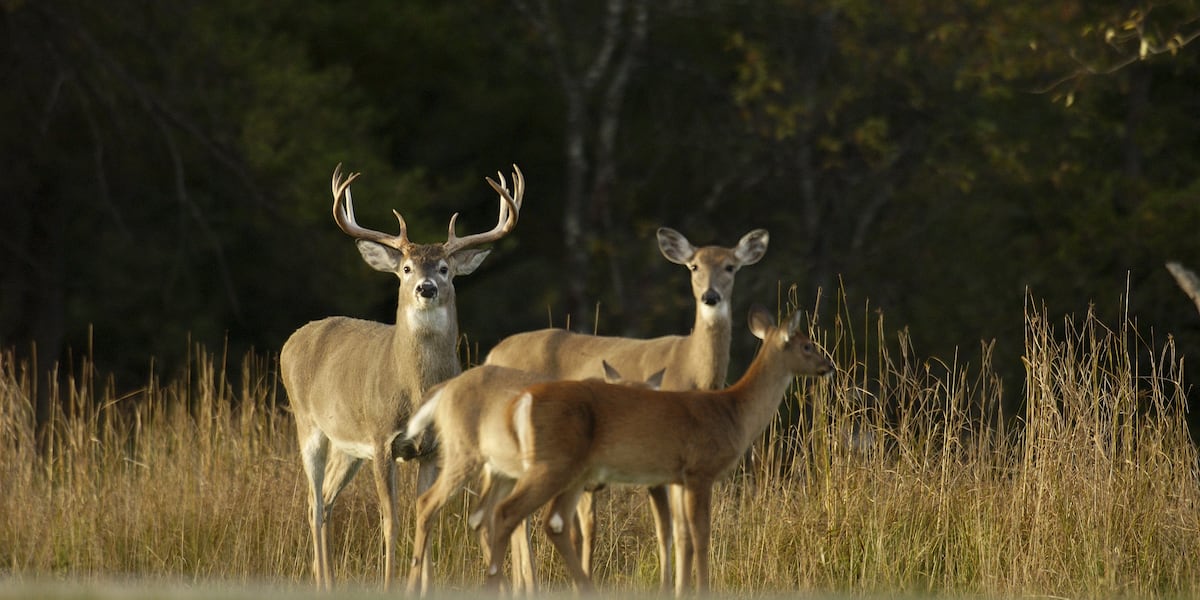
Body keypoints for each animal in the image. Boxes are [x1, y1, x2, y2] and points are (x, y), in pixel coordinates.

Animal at [279, 163, 524, 591]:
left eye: (445, 269)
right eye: (406, 268)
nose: (426, 288)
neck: (416, 389)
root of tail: (292, 340)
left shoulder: (433, 449)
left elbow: (427, 516)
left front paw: (421, 587)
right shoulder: (381, 439)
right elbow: (390, 520)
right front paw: (390, 581)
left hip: (347, 447)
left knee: (326, 499)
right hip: (308, 425)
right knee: (313, 504)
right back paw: (322, 582)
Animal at [401, 361, 665, 597]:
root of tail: (445, 390)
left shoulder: (582, 486)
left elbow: (586, 531)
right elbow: (570, 532)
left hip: (500, 471)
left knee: (480, 518)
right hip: (464, 454)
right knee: (428, 503)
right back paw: (413, 586)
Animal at [473, 305, 833, 596]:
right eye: (806, 345)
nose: (827, 365)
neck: (733, 411)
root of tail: (521, 401)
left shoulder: (676, 477)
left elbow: (680, 534)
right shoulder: (700, 470)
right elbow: (701, 534)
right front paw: (702, 589)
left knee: (526, 518)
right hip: (554, 464)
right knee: (510, 513)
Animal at [483, 226, 769, 588]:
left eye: (730, 266)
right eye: (694, 266)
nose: (711, 297)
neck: (691, 368)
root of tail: (491, 354)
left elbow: (676, 530)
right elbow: (673, 528)